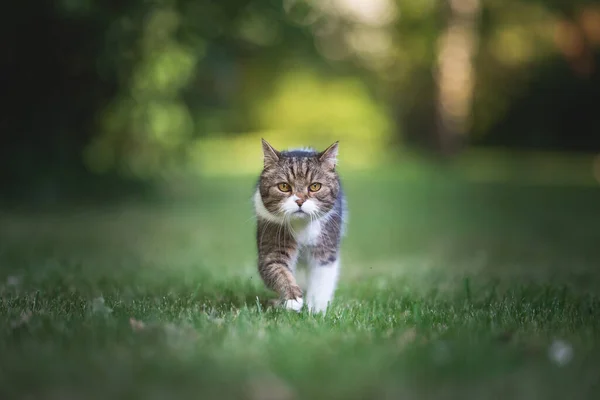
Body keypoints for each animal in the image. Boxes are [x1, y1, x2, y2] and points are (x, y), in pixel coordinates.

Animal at [253, 139, 346, 314]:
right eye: (284, 186)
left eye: (315, 186)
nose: (300, 200)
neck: (301, 225)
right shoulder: (272, 240)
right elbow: (278, 270)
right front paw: (292, 299)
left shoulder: (325, 248)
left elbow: (321, 280)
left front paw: (316, 309)